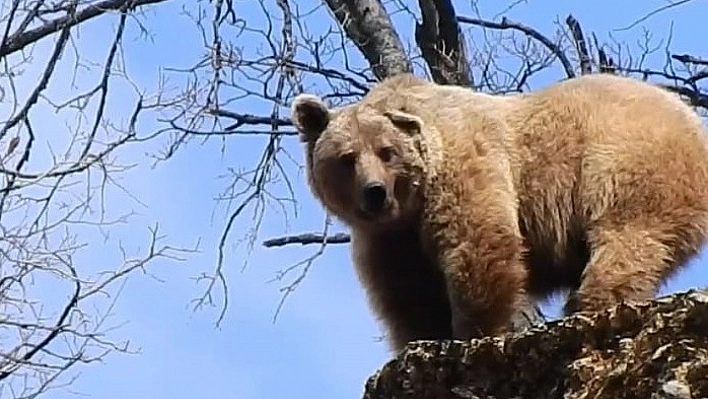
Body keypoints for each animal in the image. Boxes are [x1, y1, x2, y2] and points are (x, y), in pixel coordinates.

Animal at [288, 72, 708, 354]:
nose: (374, 192)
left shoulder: (464, 168)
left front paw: (473, 333)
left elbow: (478, 243)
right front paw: (422, 338)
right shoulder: (389, 240)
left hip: (627, 159)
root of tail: (691, 118)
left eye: (386, 152)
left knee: (628, 237)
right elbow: (408, 293)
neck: (410, 205)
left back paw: (589, 304)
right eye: (347, 158)